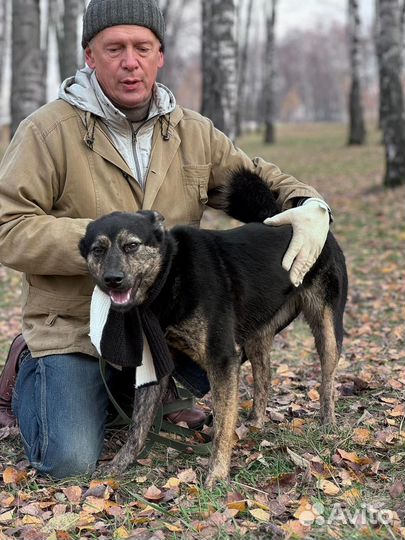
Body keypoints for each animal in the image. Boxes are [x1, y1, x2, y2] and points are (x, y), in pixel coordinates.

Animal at [79, 169, 348, 486]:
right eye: (98, 250)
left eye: (131, 246)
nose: (113, 279)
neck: (170, 274)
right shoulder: (155, 362)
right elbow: (138, 425)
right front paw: (118, 465)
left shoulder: (222, 359)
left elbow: (222, 424)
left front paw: (217, 474)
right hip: (257, 337)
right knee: (264, 377)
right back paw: (255, 422)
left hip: (326, 327)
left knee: (328, 379)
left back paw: (328, 423)